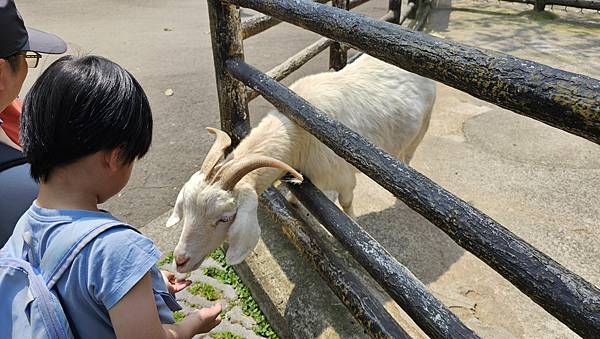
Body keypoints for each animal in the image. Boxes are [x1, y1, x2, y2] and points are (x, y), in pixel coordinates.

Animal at [166, 55, 434, 274]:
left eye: (225, 218)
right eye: (186, 209)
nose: (180, 260)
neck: (297, 130)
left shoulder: (344, 178)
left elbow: (346, 205)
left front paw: (355, 229)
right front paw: (293, 201)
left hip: (423, 126)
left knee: (408, 155)